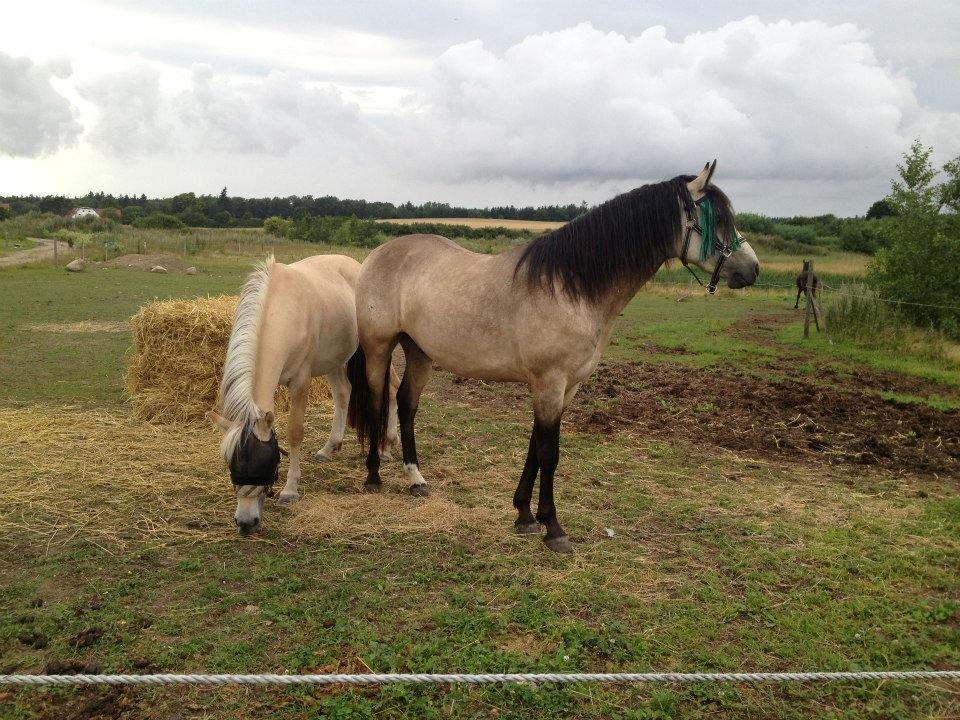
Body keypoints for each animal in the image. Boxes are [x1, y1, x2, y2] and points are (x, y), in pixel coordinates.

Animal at [208, 255, 400, 536]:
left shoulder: (301, 381)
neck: (282, 310)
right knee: (343, 394)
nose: (245, 523)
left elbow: (295, 432)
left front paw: (290, 491)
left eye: (263, 462)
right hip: (335, 360)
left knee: (392, 388)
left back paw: (387, 446)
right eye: (233, 466)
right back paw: (330, 447)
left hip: (375, 353)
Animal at [348, 163, 760, 556]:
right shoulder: (549, 381)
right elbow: (549, 452)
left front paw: (524, 516)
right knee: (377, 402)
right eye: (718, 220)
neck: (570, 288)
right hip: (380, 348)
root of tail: (377, 255)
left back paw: (416, 480)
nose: (752, 269)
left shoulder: (566, 387)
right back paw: (373, 477)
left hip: (419, 352)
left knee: (406, 405)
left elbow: (536, 446)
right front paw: (553, 528)